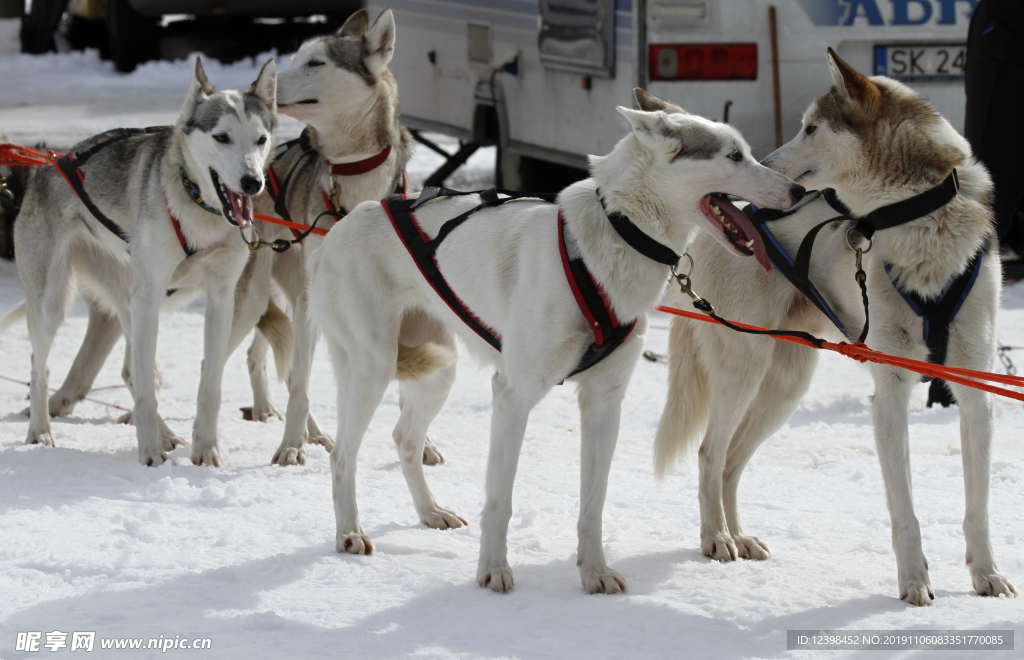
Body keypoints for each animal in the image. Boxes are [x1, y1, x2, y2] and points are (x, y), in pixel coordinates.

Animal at [307, 89, 802, 593]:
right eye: (734, 156)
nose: (798, 192)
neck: (616, 232)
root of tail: (343, 225)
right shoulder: (513, 395)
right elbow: (500, 499)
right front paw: (493, 570)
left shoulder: (604, 403)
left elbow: (593, 502)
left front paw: (595, 571)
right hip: (372, 368)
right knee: (343, 456)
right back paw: (349, 532)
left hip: (437, 370)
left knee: (406, 439)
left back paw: (430, 512)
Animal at [655, 48, 1015, 605]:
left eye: (810, 128)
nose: (766, 168)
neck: (918, 219)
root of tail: (724, 224)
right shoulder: (891, 386)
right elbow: (904, 510)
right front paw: (914, 582)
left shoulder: (974, 386)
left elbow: (978, 506)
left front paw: (987, 574)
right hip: (745, 371)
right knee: (710, 453)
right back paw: (716, 538)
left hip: (784, 386)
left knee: (732, 461)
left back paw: (739, 535)